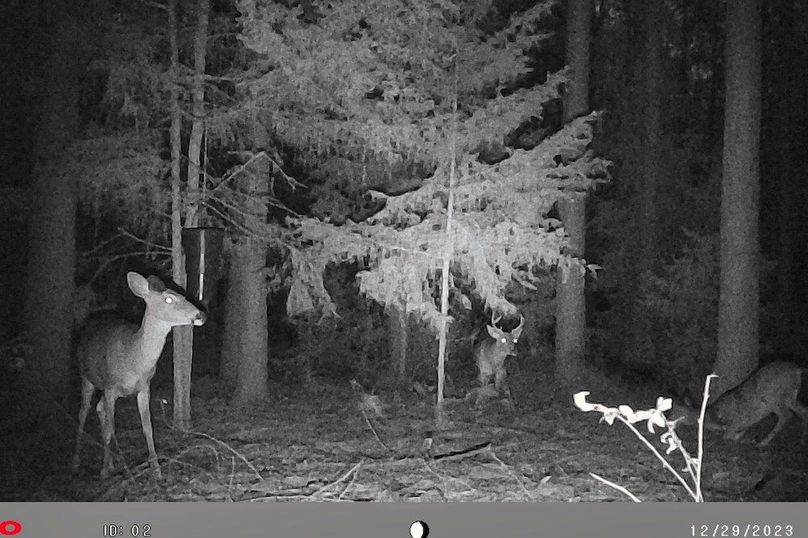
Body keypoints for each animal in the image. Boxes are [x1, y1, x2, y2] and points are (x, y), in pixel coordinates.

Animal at [72, 272, 206, 479]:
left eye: (183, 295)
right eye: (169, 299)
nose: (201, 315)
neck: (134, 360)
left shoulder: (144, 387)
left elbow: (147, 427)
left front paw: (156, 469)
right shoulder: (110, 387)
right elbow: (111, 429)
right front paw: (115, 470)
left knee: (99, 408)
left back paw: (110, 462)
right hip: (86, 377)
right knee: (83, 412)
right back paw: (78, 461)